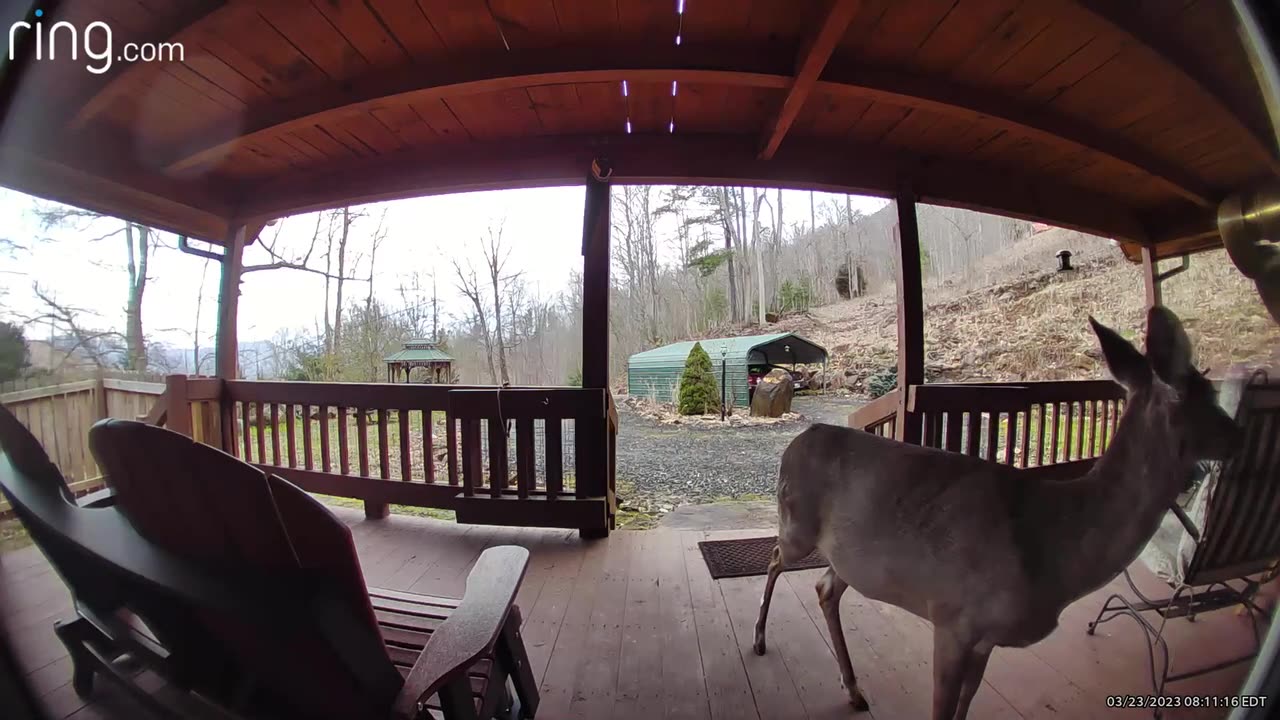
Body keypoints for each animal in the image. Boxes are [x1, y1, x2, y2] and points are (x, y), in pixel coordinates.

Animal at [747, 304, 1239, 712]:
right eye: (1206, 395)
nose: (1239, 435)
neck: (1052, 545)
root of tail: (798, 441)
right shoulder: (953, 619)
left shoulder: (985, 640)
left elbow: (966, 704)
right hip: (796, 526)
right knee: (774, 558)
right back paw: (760, 641)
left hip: (849, 557)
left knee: (825, 588)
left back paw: (853, 689)